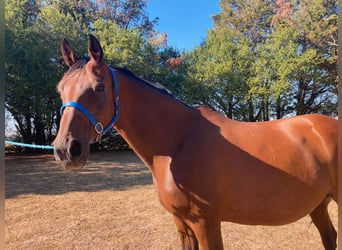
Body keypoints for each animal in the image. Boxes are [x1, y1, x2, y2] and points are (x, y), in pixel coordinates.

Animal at [53, 35, 336, 250]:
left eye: (100, 87)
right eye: (60, 89)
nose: (66, 149)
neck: (178, 143)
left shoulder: (206, 223)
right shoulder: (182, 223)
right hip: (318, 203)